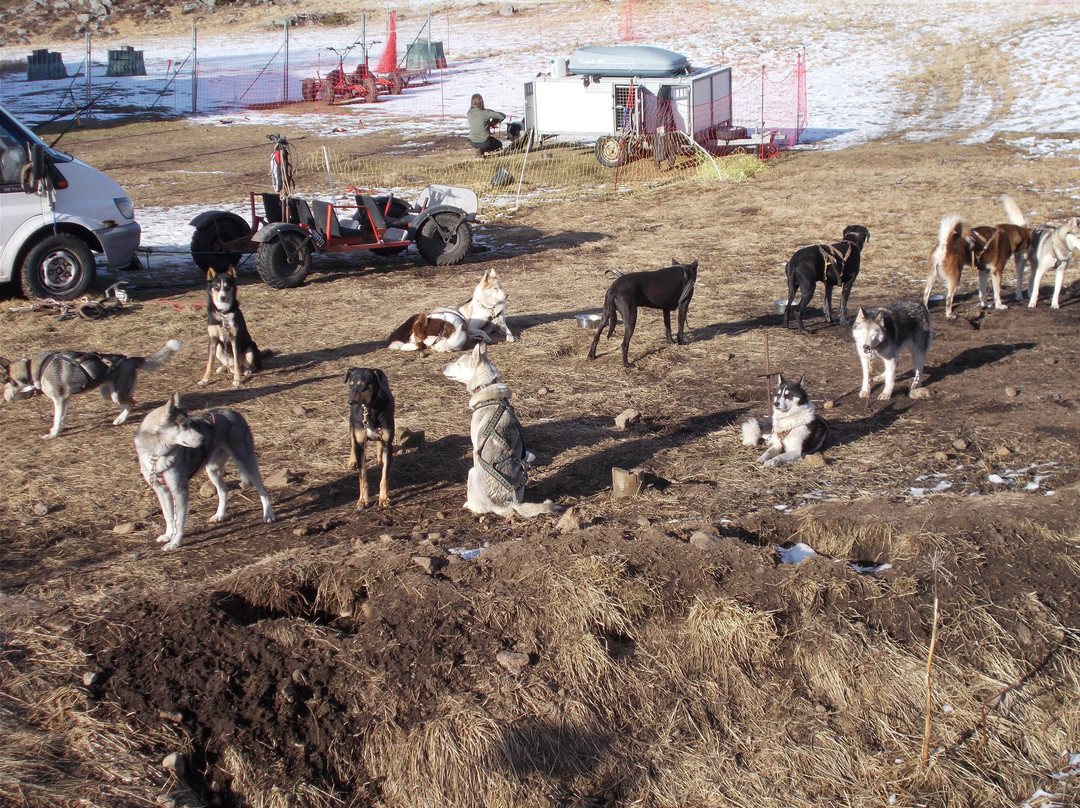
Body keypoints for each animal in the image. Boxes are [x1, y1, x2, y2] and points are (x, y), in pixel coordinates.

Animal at [1, 341, 182, 442]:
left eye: (3, 384)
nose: (4, 398)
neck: (34, 369)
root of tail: (129, 360)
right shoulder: (66, 399)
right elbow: (62, 418)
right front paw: (57, 430)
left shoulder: (59, 399)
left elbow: (57, 419)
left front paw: (53, 435)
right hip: (107, 394)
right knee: (127, 403)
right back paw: (119, 418)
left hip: (115, 394)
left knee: (131, 402)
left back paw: (121, 419)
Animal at [133, 395, 274, 553]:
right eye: (184, 425)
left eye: (191, 424)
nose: (203, 438)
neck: (156, 455)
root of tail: (233, 412)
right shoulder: (162, 490)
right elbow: (168, 517)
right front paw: (168, 535)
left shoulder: (179, 490)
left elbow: (179, 521)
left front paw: (175, 542)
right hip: (212, 470)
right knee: (223, 491)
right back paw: (220, 515)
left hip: (246, 464)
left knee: (263, 490)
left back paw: (268, 514)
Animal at [343, 367, 395, 507]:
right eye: (350, 385)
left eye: (363, 385)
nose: (350, 402)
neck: (370, 409)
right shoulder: (361, 445)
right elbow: (362, 477)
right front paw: (362, 500)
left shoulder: (388, 444)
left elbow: (384, 476)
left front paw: (383, 498)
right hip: (352, 425)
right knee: (352, 442)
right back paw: (352, 461)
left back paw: (379, 457)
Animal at [440, 341, 561, 518]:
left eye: (458, 363)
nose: (442, 367)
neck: (487, 388)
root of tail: (506, 503)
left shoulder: (475, 447)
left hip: (471, 473)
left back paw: (469, 505)